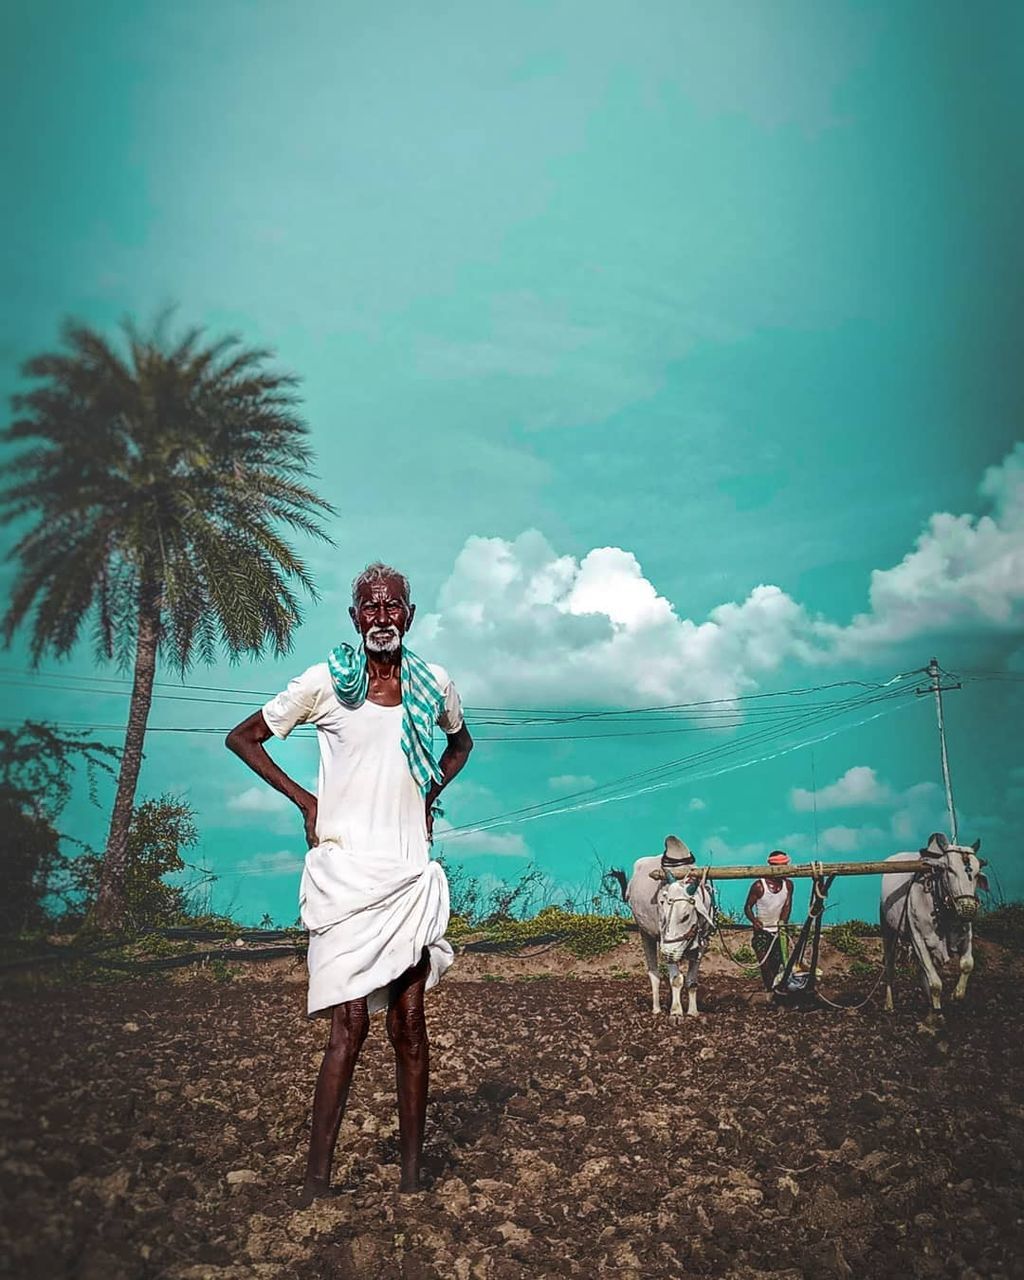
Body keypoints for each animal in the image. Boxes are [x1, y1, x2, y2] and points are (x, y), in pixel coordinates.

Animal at [619, 855, 716, 1024]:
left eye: (685, 916)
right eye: (662, 909)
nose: (666, 954)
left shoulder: (702, 946)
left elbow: (691, 981)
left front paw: (692, 1011)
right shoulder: (667, 946)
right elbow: (676, 979)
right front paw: (676, 1012)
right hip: (645, 934)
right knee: (654, 974)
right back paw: (657, 1009)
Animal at [875, 829, 988, 1018]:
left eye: (977, 873)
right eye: (949, 869)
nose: (968, 908)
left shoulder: (966, 933)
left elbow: (967, 965)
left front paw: (955, 995)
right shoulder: (918, 938)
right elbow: (936, 983)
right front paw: (935, 1013)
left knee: (922, 972)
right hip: (888, 931)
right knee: (890, 968)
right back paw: (889, 1005)